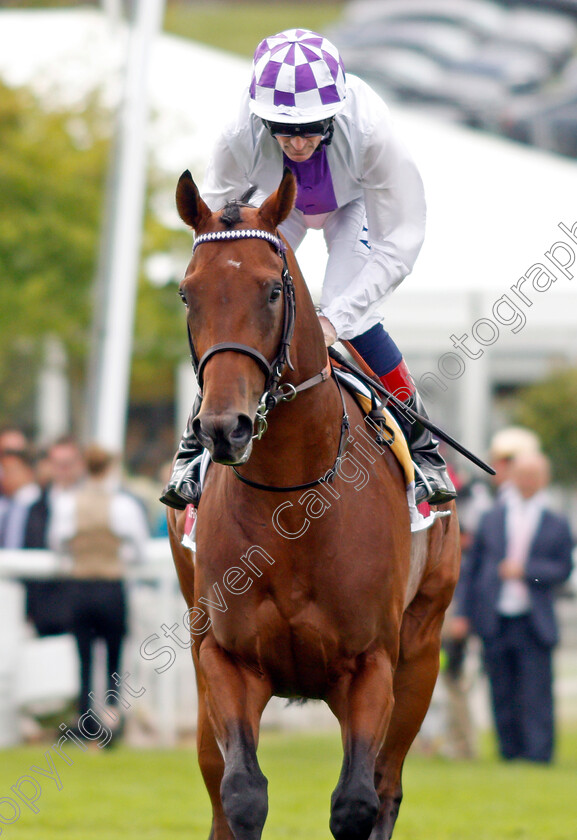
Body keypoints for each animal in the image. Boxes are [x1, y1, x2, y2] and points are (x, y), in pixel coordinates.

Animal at [166, 169, 460, 840]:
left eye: (273, 290)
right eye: (188, 295)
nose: (223, 428)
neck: (293, 503)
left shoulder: (371, 664)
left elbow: (356, 800)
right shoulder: (226, 658)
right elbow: (241, 794)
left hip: (423, 650)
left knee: (387, 785)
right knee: (214, 779)